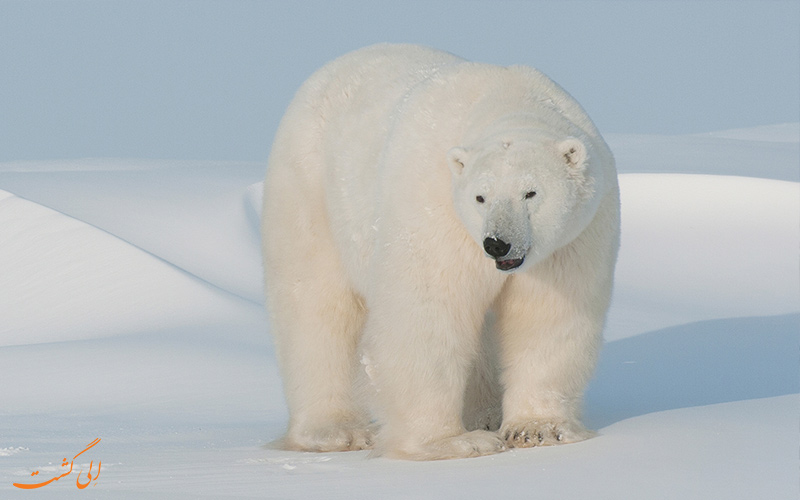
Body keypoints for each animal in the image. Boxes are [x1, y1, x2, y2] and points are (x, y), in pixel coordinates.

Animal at [262, 44, 620, 460]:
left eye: (531, 193)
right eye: (480, 197)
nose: (497, 243)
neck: (510, 101)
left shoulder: (573, 240)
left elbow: (548, 316)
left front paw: (536, 429)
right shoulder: (437, 209)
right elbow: (431, 312)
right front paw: (453, 442)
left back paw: (486, 413)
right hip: (310, 185)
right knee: (315, 303)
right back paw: (336, 431)